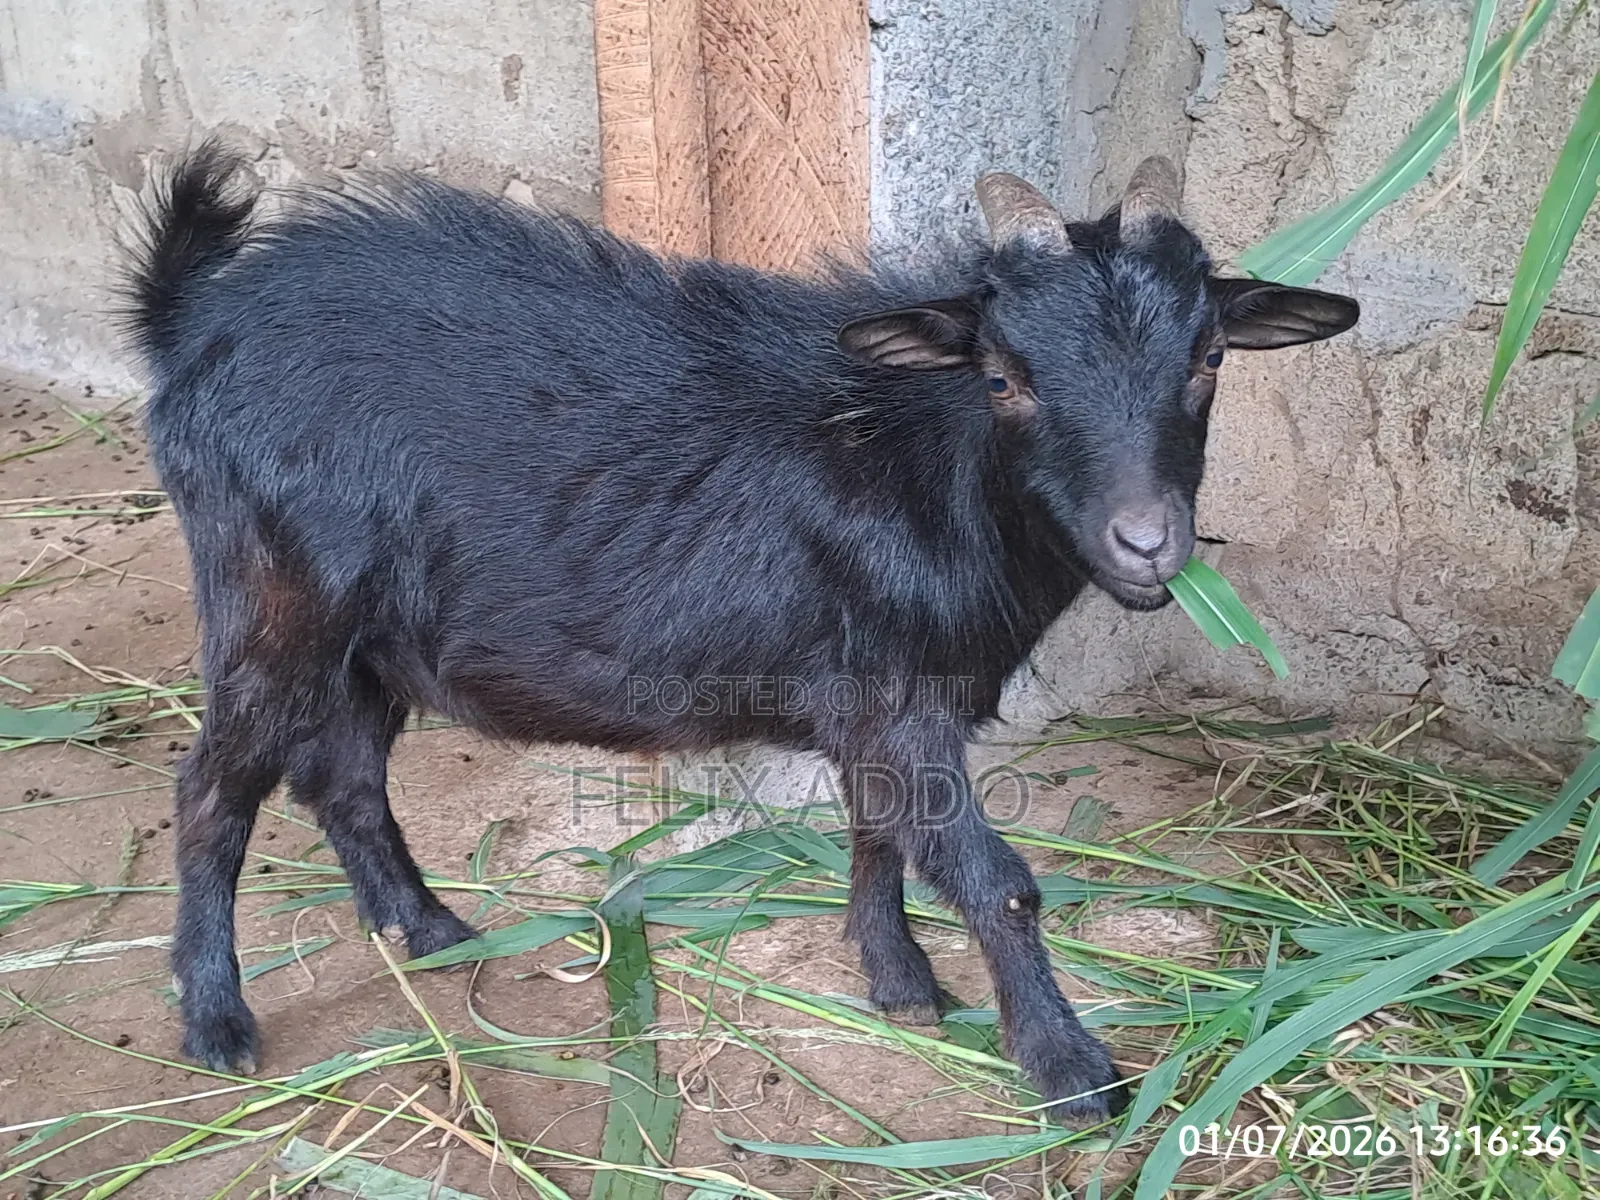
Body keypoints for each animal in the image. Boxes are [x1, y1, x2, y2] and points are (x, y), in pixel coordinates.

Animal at [122, 143, 1357, 1123]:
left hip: (371, 639)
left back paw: (427, 929)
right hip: (272, 606)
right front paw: (1069, 1070)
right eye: (1005, 375)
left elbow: (878, 836)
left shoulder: (873, 701)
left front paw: (900, 983)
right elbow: (991, 876)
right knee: (212, 791)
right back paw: (217, 1019)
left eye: (1208, 359)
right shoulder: (896, 700)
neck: (919, 466)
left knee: (344, 778)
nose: (1148, 542)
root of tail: (195, 324)